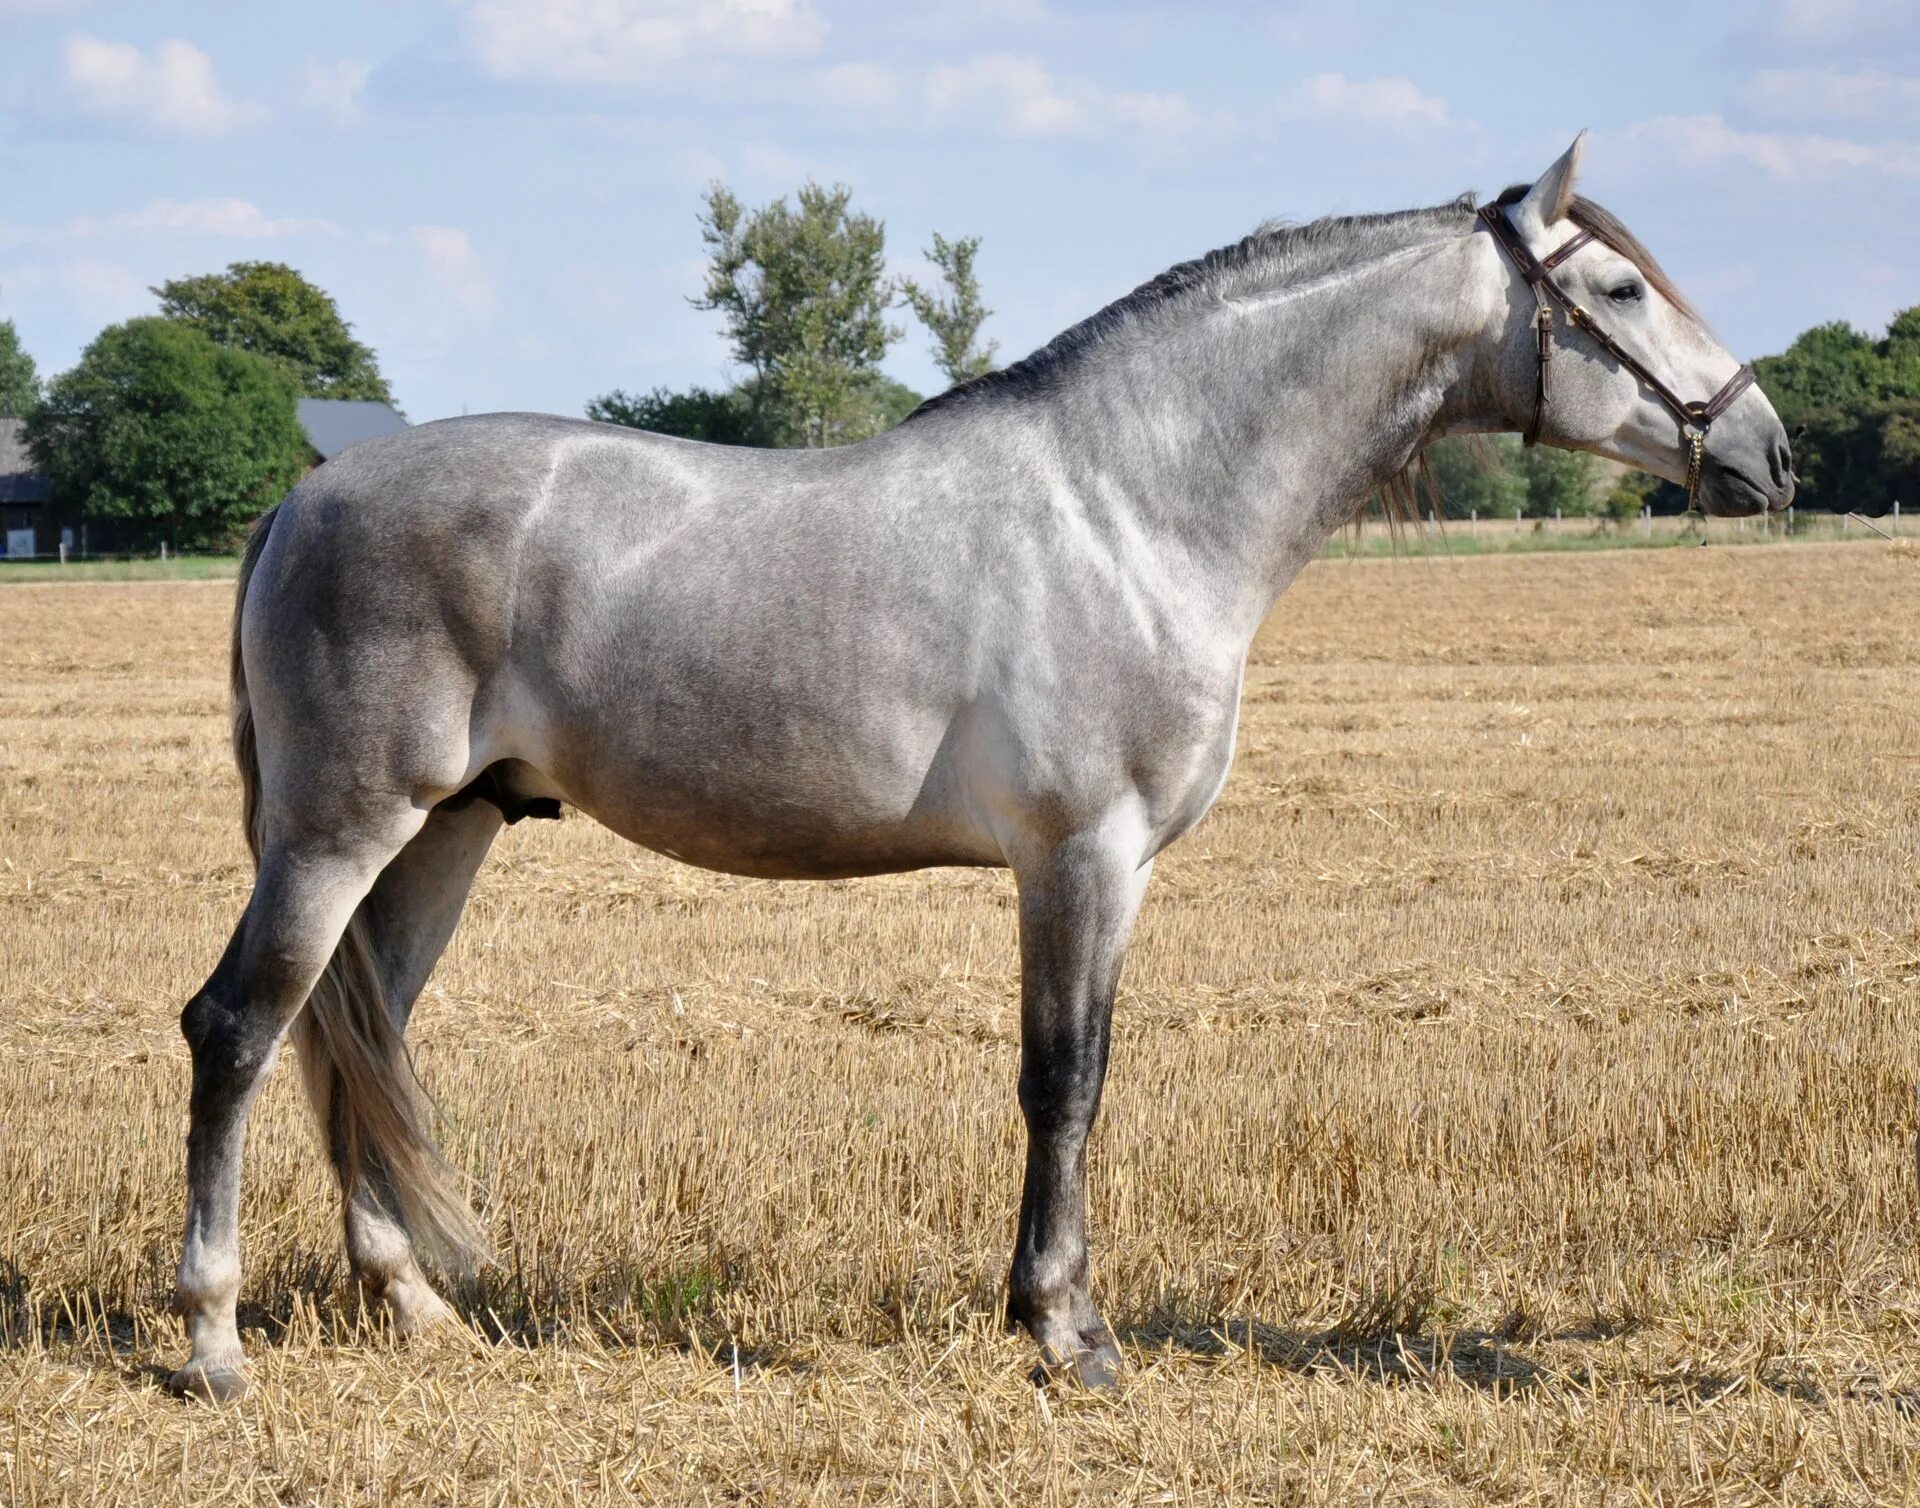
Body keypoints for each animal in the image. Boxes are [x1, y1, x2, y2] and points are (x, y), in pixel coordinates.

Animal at [172, 141, 1789, 1398]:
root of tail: (306, 496)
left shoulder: (1100, 869)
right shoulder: (1081, 854)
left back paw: (416, 1308)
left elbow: (1080, 1074)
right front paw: (1066, 1330)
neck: (1133, 505)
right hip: (340, 828)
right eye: (1622, 290)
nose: (1768, 453)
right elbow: (1062, 1079)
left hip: (448, 829)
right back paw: (212, 1341)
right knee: (239, 1028)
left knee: (356, 1036)